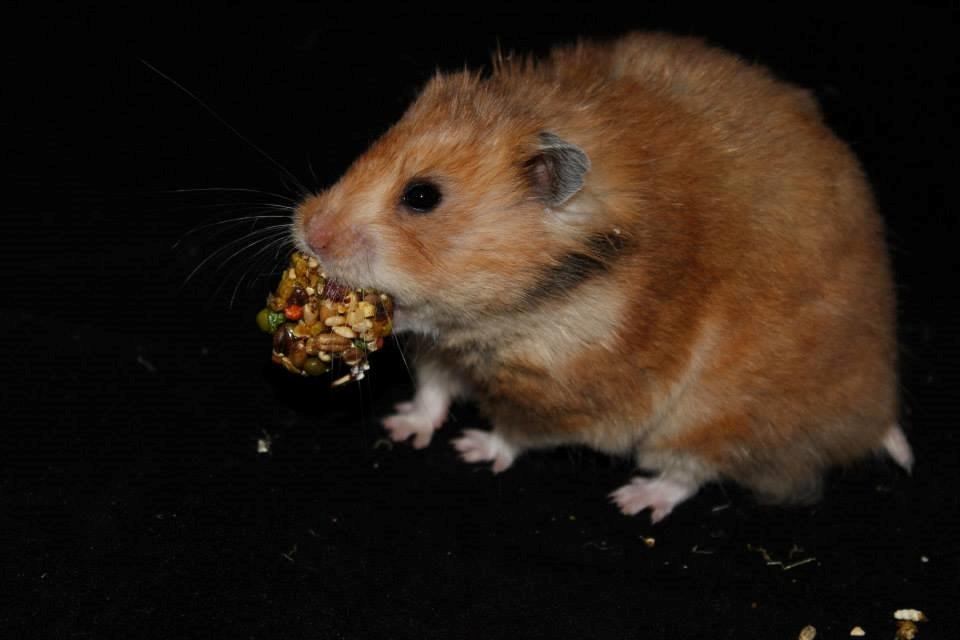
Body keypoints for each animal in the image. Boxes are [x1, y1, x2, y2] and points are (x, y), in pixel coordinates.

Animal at [292, 32, 912, 522]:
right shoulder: (445, 350)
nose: (308, 231)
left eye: (422, 197)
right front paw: (402, 427)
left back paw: (635, 500)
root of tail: (874, 413)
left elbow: (516, 433)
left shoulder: (571, 397)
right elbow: (433, 388)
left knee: (689, 472)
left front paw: (472, 448)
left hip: (713, 418)